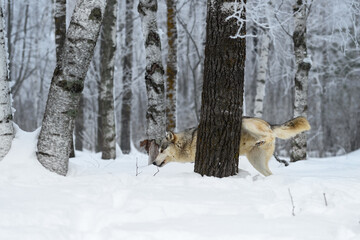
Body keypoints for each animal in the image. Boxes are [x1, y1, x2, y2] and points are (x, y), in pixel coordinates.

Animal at [152, 116, 310, 176]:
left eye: (161, 150)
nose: (153, 163)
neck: (188, 143)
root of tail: (269, 123)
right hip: (257, 163)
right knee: (269, 173)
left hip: (246, 124)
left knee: (269, 135)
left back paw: (260, 140)